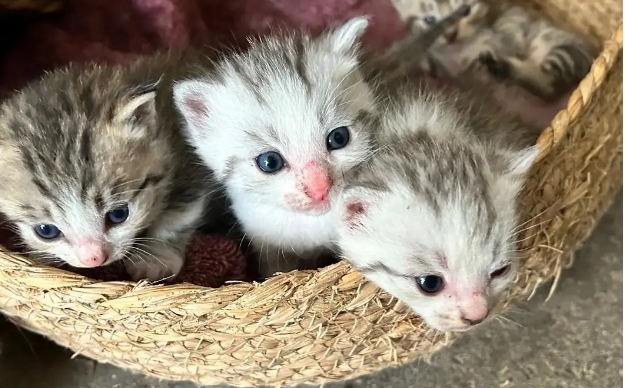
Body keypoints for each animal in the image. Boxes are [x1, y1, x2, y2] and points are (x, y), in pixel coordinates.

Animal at [0, 51, 216, 282]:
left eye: (119, 214)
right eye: (46, 231)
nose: (94, 258)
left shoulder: (191, 162)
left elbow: (178, 215)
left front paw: (156, 257)